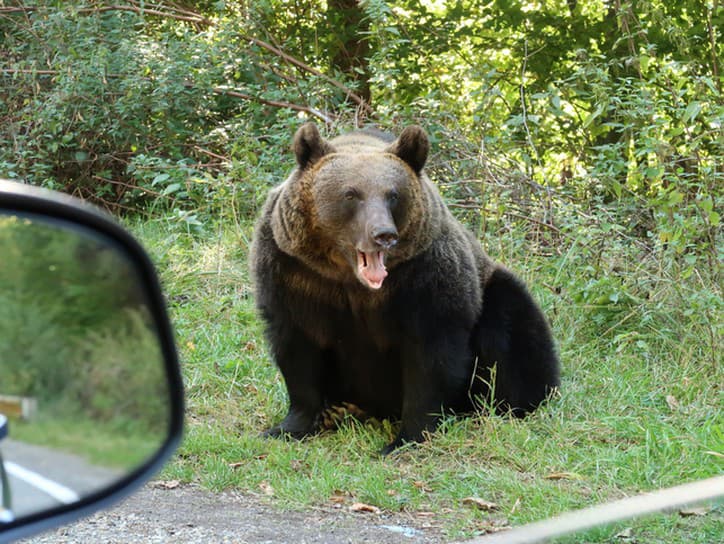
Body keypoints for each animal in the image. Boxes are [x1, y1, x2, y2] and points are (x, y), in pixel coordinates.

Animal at [249, 123, 560, 454]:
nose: (383, 234)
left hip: (491, 291)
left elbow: (430, 359)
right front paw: (290, 426)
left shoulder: (423, 279)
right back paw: (341, 409)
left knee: (511, 333)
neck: (351, 280)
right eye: (351, 194)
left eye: (393, 195)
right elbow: (297, 351)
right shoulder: (293, 276)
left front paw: (406, 438)